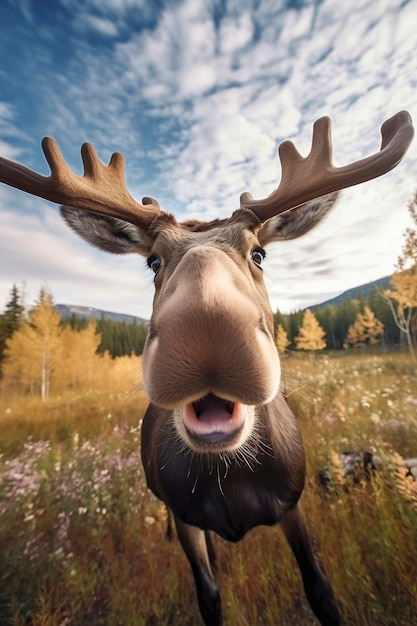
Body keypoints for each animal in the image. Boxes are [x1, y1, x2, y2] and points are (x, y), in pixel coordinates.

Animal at [0, 109, 412, 620]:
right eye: (153, 262)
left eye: (259, 252)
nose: (206, 325)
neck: (231, 478)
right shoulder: (183, 518)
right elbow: (209, 595)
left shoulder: (293, 503)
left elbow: (320, 588)